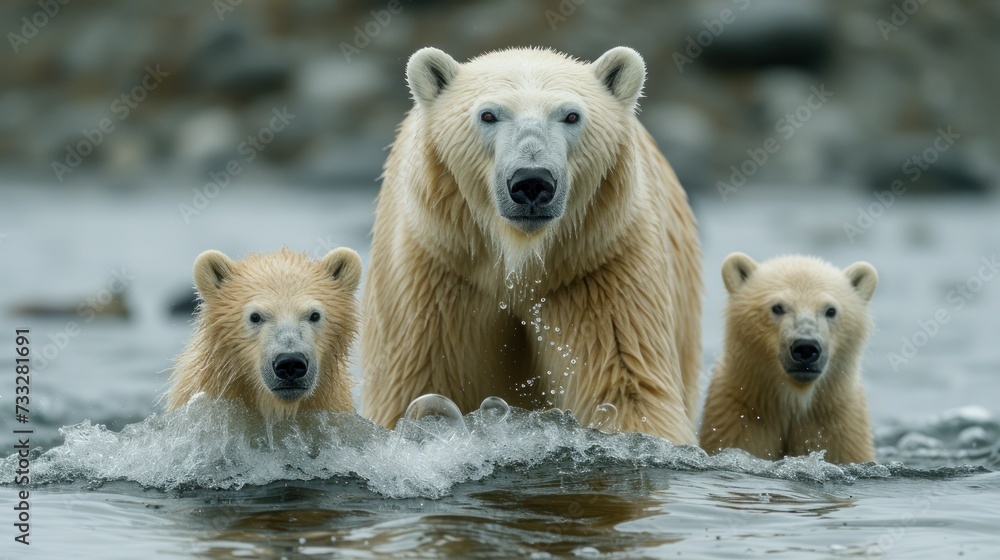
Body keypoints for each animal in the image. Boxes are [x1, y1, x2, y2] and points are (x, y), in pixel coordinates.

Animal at [362, 46, 704, 444]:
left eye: (571, 115)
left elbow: (624, 381)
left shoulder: (600, 266)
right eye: (488, 114)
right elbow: (418, 380)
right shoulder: (438, 270)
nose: (532, 182)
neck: (518, 259)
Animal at [704, 254, 876, 464]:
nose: (806, 347)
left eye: (831, 310)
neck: (794, 400)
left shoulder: (837, 424)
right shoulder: (741, 415)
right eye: (777, 307)